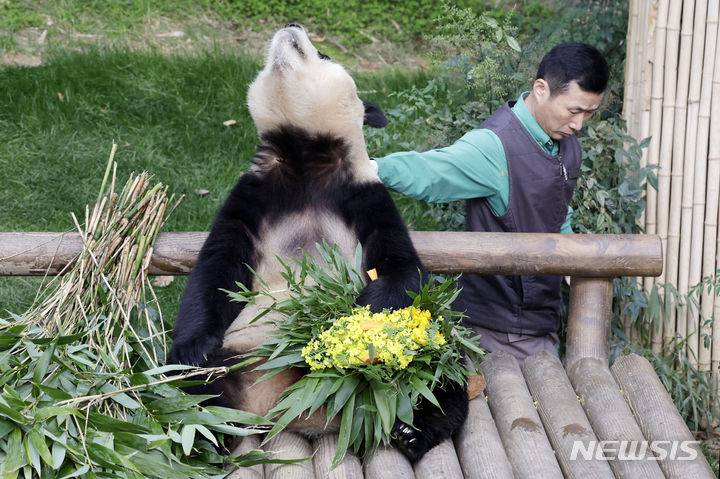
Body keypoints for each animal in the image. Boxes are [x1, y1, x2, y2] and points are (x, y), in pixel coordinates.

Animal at [170, 24, 466, 464]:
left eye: (325, 55)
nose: (291, 25)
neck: (304, 158)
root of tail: (289, 406)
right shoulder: (254, 194)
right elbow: (216, 270)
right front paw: (193, 348)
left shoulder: (364, 196)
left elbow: (401, 268)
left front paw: (350, 323)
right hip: (235, 357)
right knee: (190, 388)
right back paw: (205, 434)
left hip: (420, 351)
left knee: (441, 379)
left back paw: (412, 432)